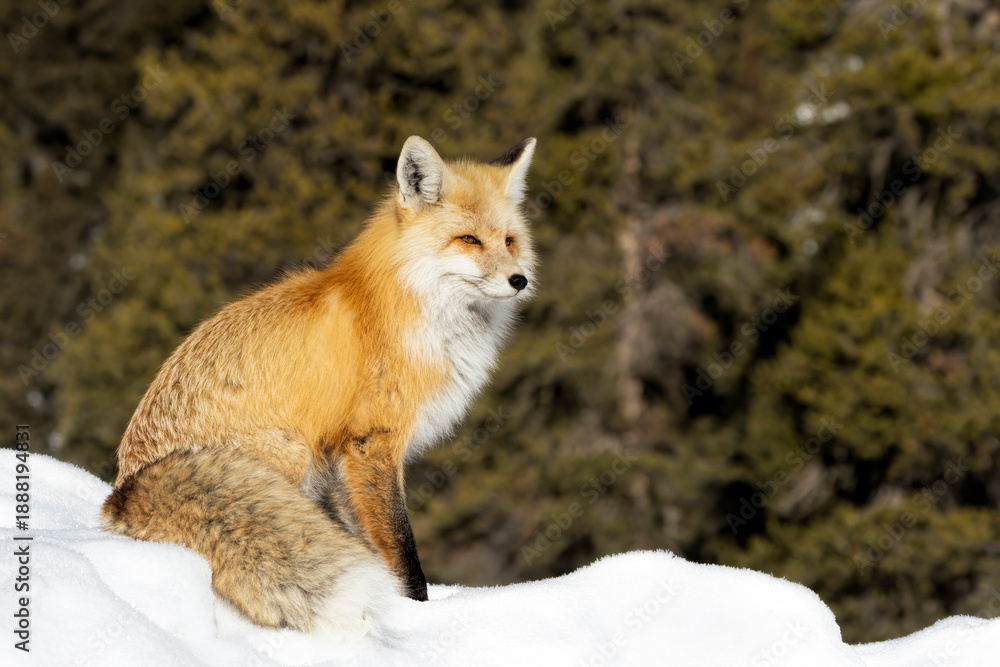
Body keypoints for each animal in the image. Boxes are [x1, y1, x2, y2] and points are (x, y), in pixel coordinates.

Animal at [100, 135, 537, 638]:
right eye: (468, 239)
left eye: (509, 241)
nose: (519, 279)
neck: (412, 307)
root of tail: (124, 489)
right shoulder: (372, 441)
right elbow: (401, 547)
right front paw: (417, 612)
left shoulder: (343, 460)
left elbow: (369, 544)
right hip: (291, 453)